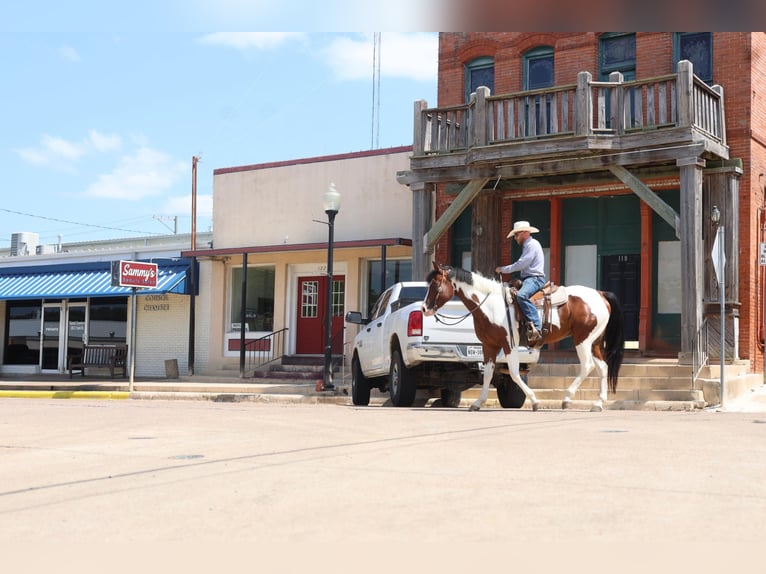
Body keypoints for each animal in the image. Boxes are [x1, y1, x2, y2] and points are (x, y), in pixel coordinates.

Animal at [424, 264, 628, 412]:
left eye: (435, 285)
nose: (425, 309)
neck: (491, 305)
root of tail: (600, 294)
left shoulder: (509, 344)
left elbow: (514, 373)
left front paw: (535, 401)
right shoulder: (489, 345)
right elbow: (488, 374)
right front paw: (477, 403)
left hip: (582, 340)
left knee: (587, 366)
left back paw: (567, 399)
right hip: (594, 342)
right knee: (602, 367)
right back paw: (598, 404)